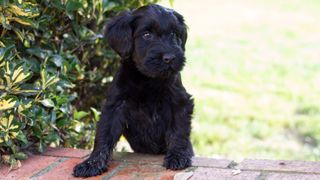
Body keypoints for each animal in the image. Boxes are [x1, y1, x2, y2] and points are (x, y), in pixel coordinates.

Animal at [73, 4, 192, 177]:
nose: (170, 58)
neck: (147, 79)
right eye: (147, 34)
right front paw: (92, 163)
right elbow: (104, 134)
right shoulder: (115, 105)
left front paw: (178, 156)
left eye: (174, 34)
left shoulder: (180, 101)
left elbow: (179, 130)